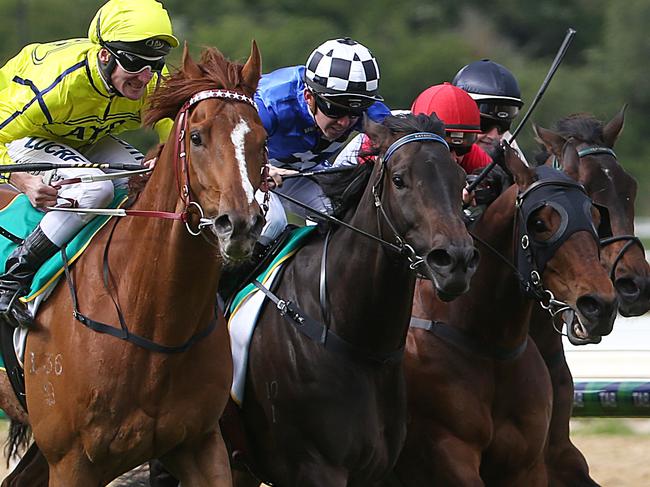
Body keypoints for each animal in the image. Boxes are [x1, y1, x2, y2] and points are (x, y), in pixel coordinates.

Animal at [392, 145, 616, 487]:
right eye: (539, 223)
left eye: (594, 216)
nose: (600, 305)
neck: (488, 345)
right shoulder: (443, 454)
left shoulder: (528, 465)